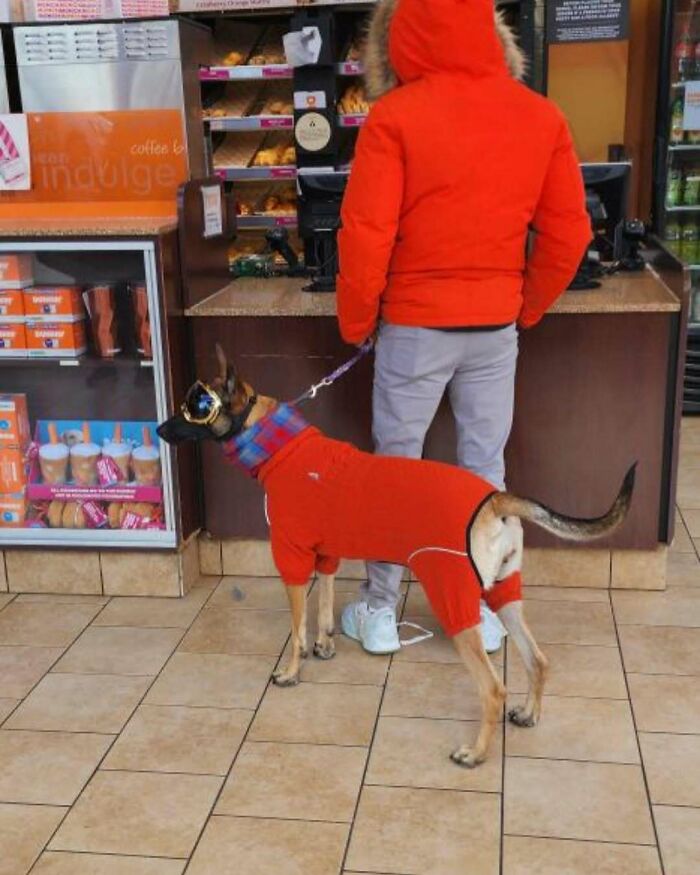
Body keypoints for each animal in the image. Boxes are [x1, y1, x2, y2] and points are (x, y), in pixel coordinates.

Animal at [159, 346, 636, 768]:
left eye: (195, 406)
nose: (160, 429)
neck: (278, 445)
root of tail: (496, 499)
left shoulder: (291, 557)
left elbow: (296, 627)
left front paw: (292, 669)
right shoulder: (326, 555)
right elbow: (325, 601)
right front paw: (325, 643)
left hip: (453, 597)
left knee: (492, 690)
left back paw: (476, 753)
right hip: (504, 591)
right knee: (537, 660)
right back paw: (529, 712)